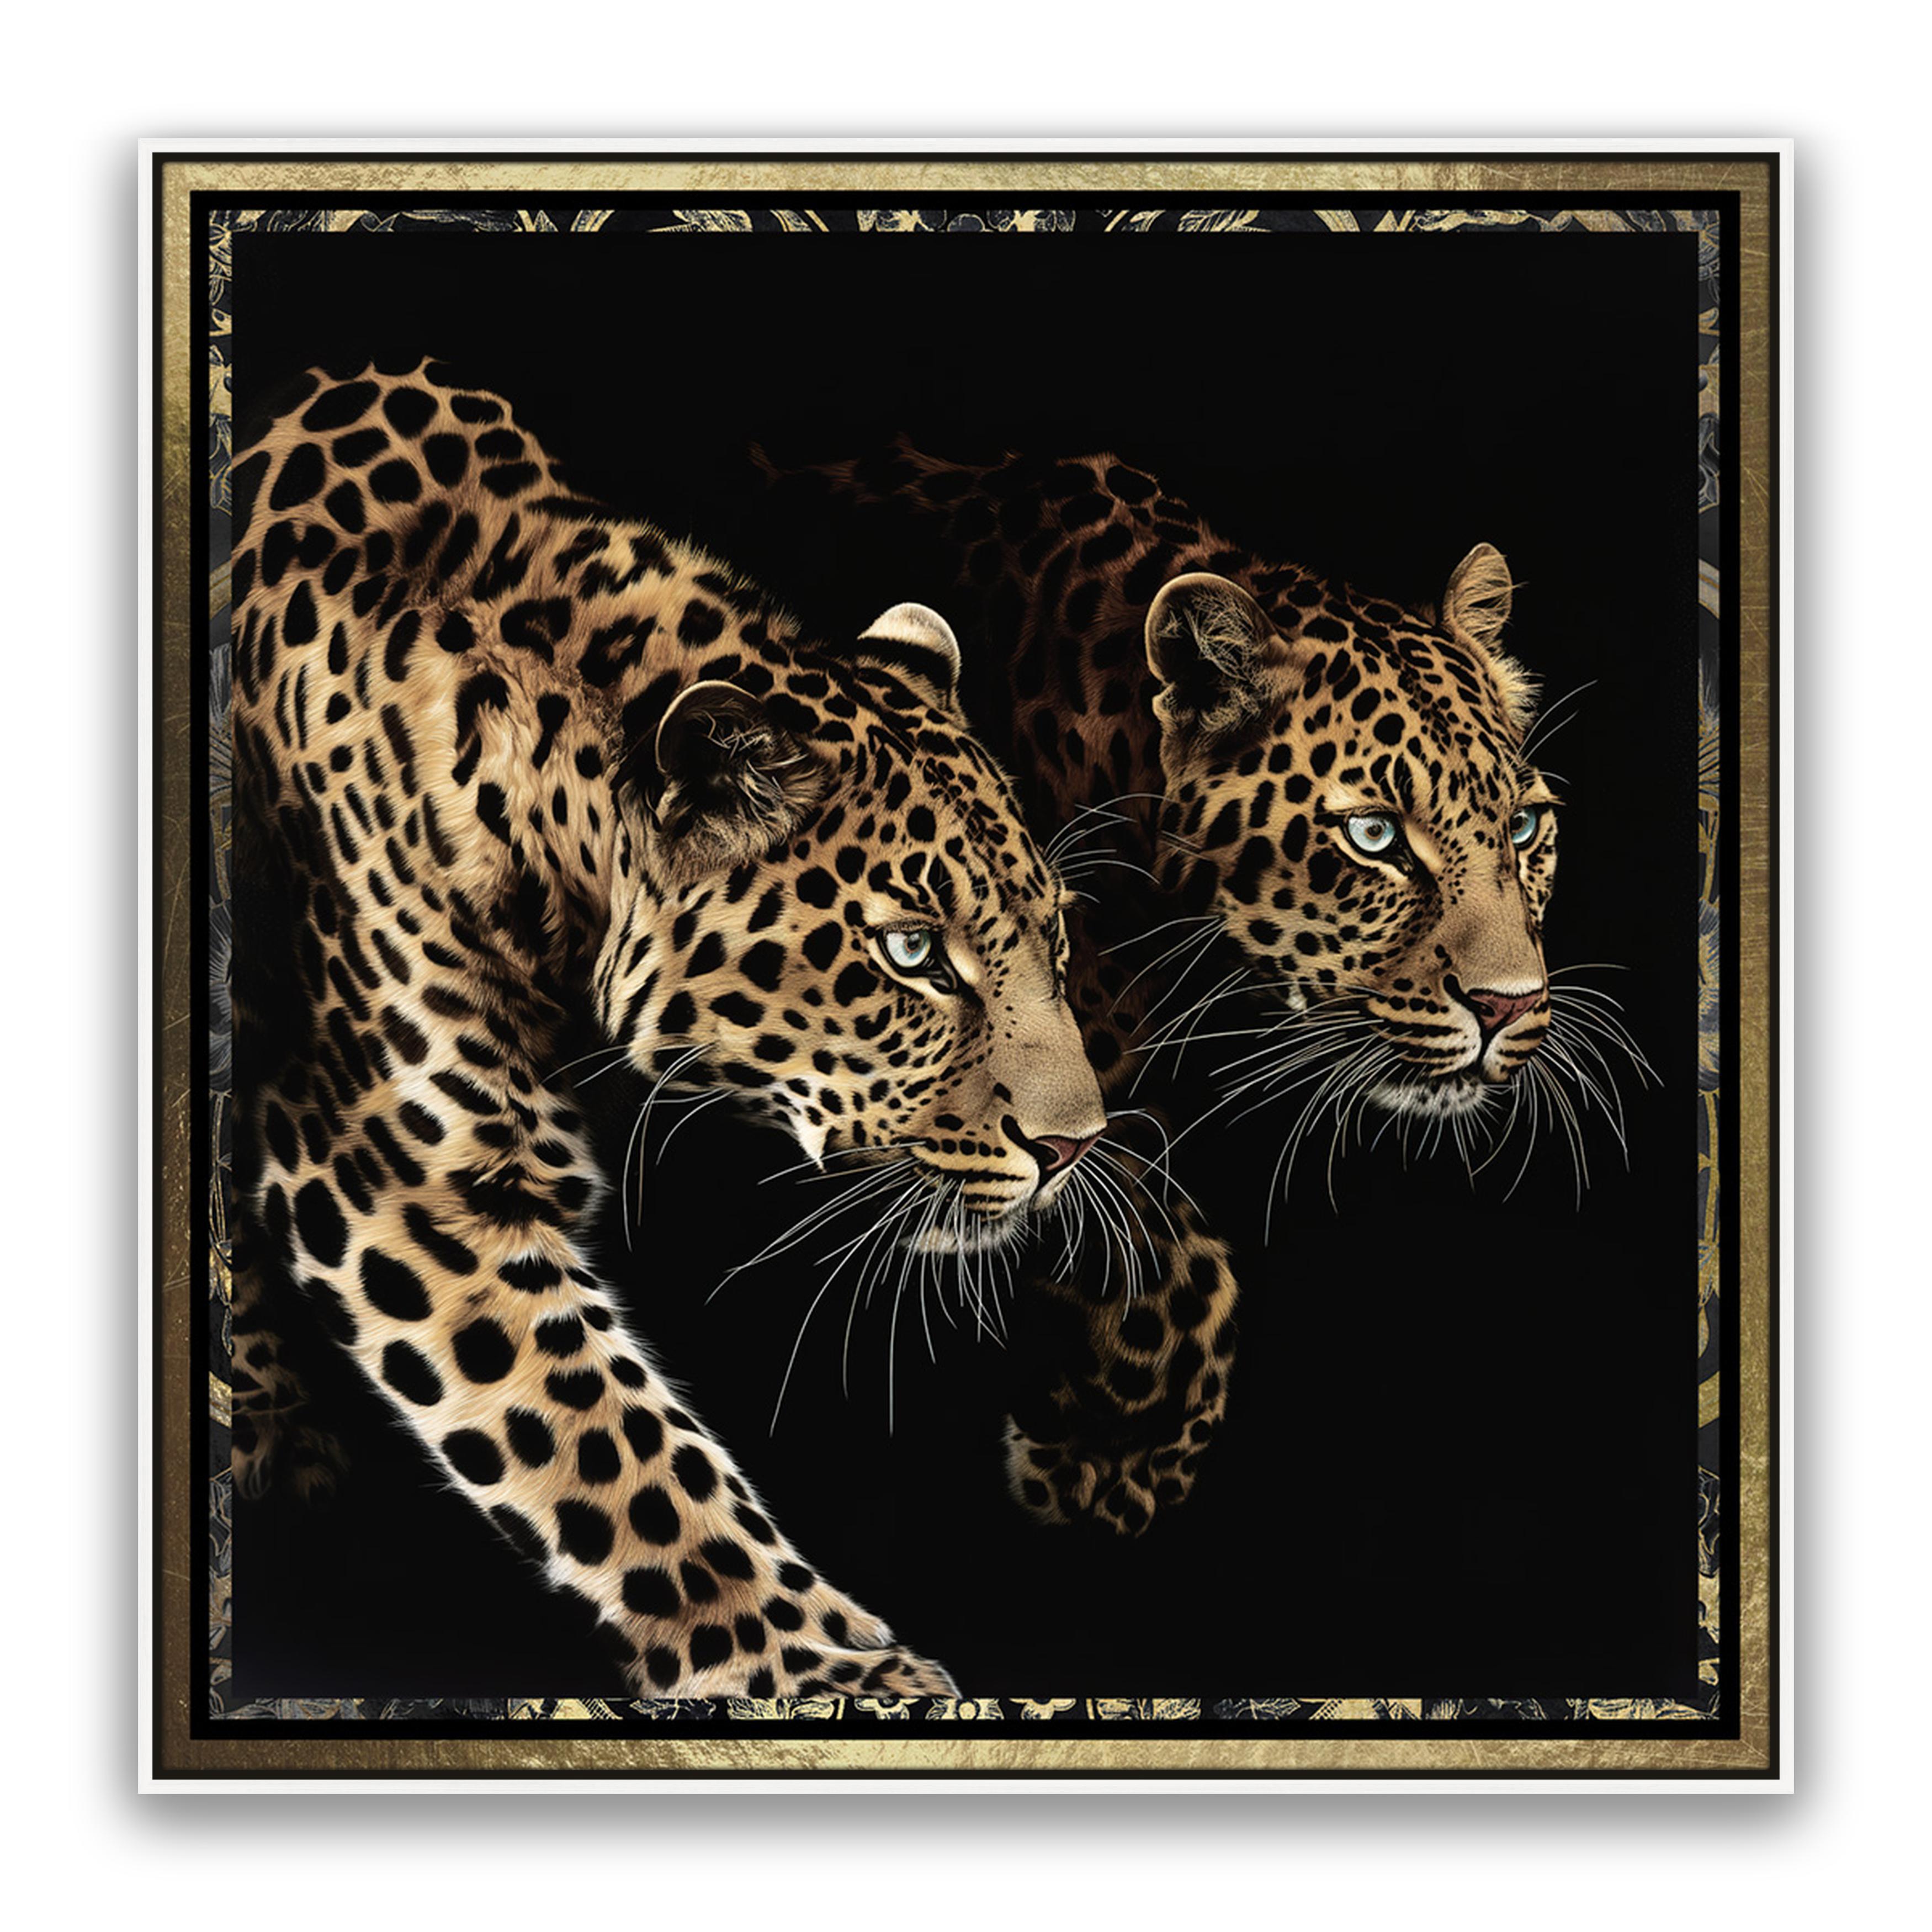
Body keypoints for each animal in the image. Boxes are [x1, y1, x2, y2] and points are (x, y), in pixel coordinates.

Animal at [225, 362, 1115, 1701]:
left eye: (1051, 932)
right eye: (912, 953)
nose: (1077, 1147)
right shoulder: (395, 1171)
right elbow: (617, 1453)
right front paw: (829, 1670)